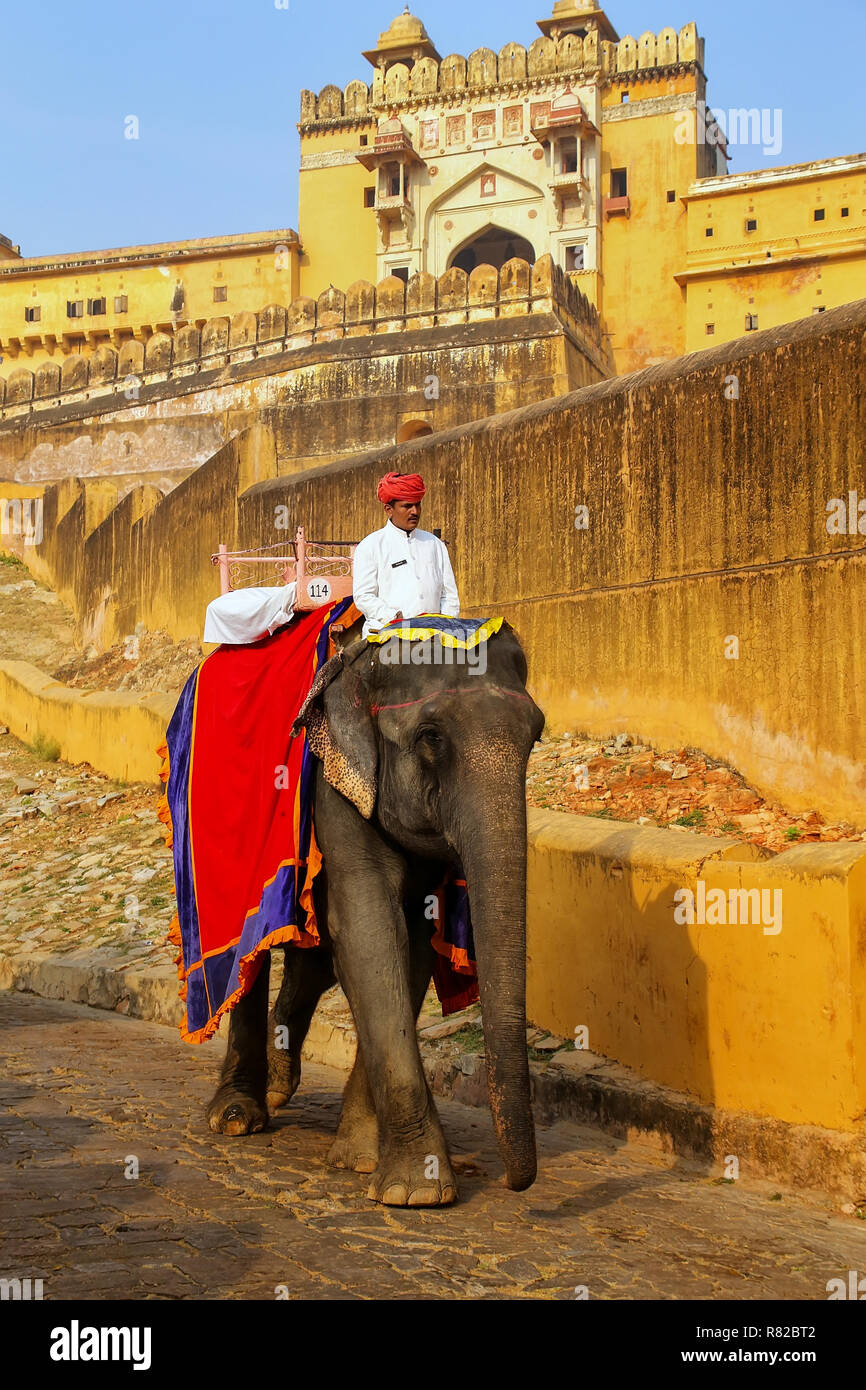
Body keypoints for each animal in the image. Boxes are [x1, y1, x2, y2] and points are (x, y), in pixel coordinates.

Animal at [205, 618, 545, 1207]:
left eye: (536, 735)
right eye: (431, 737)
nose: (512, 1182)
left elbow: (406, 940)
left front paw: (362, 1160)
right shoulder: (335, 787)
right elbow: (368, 926)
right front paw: (418, 1191)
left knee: (314, 960)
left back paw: (279, 1082)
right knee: (253, 952)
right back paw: (236, 1116)